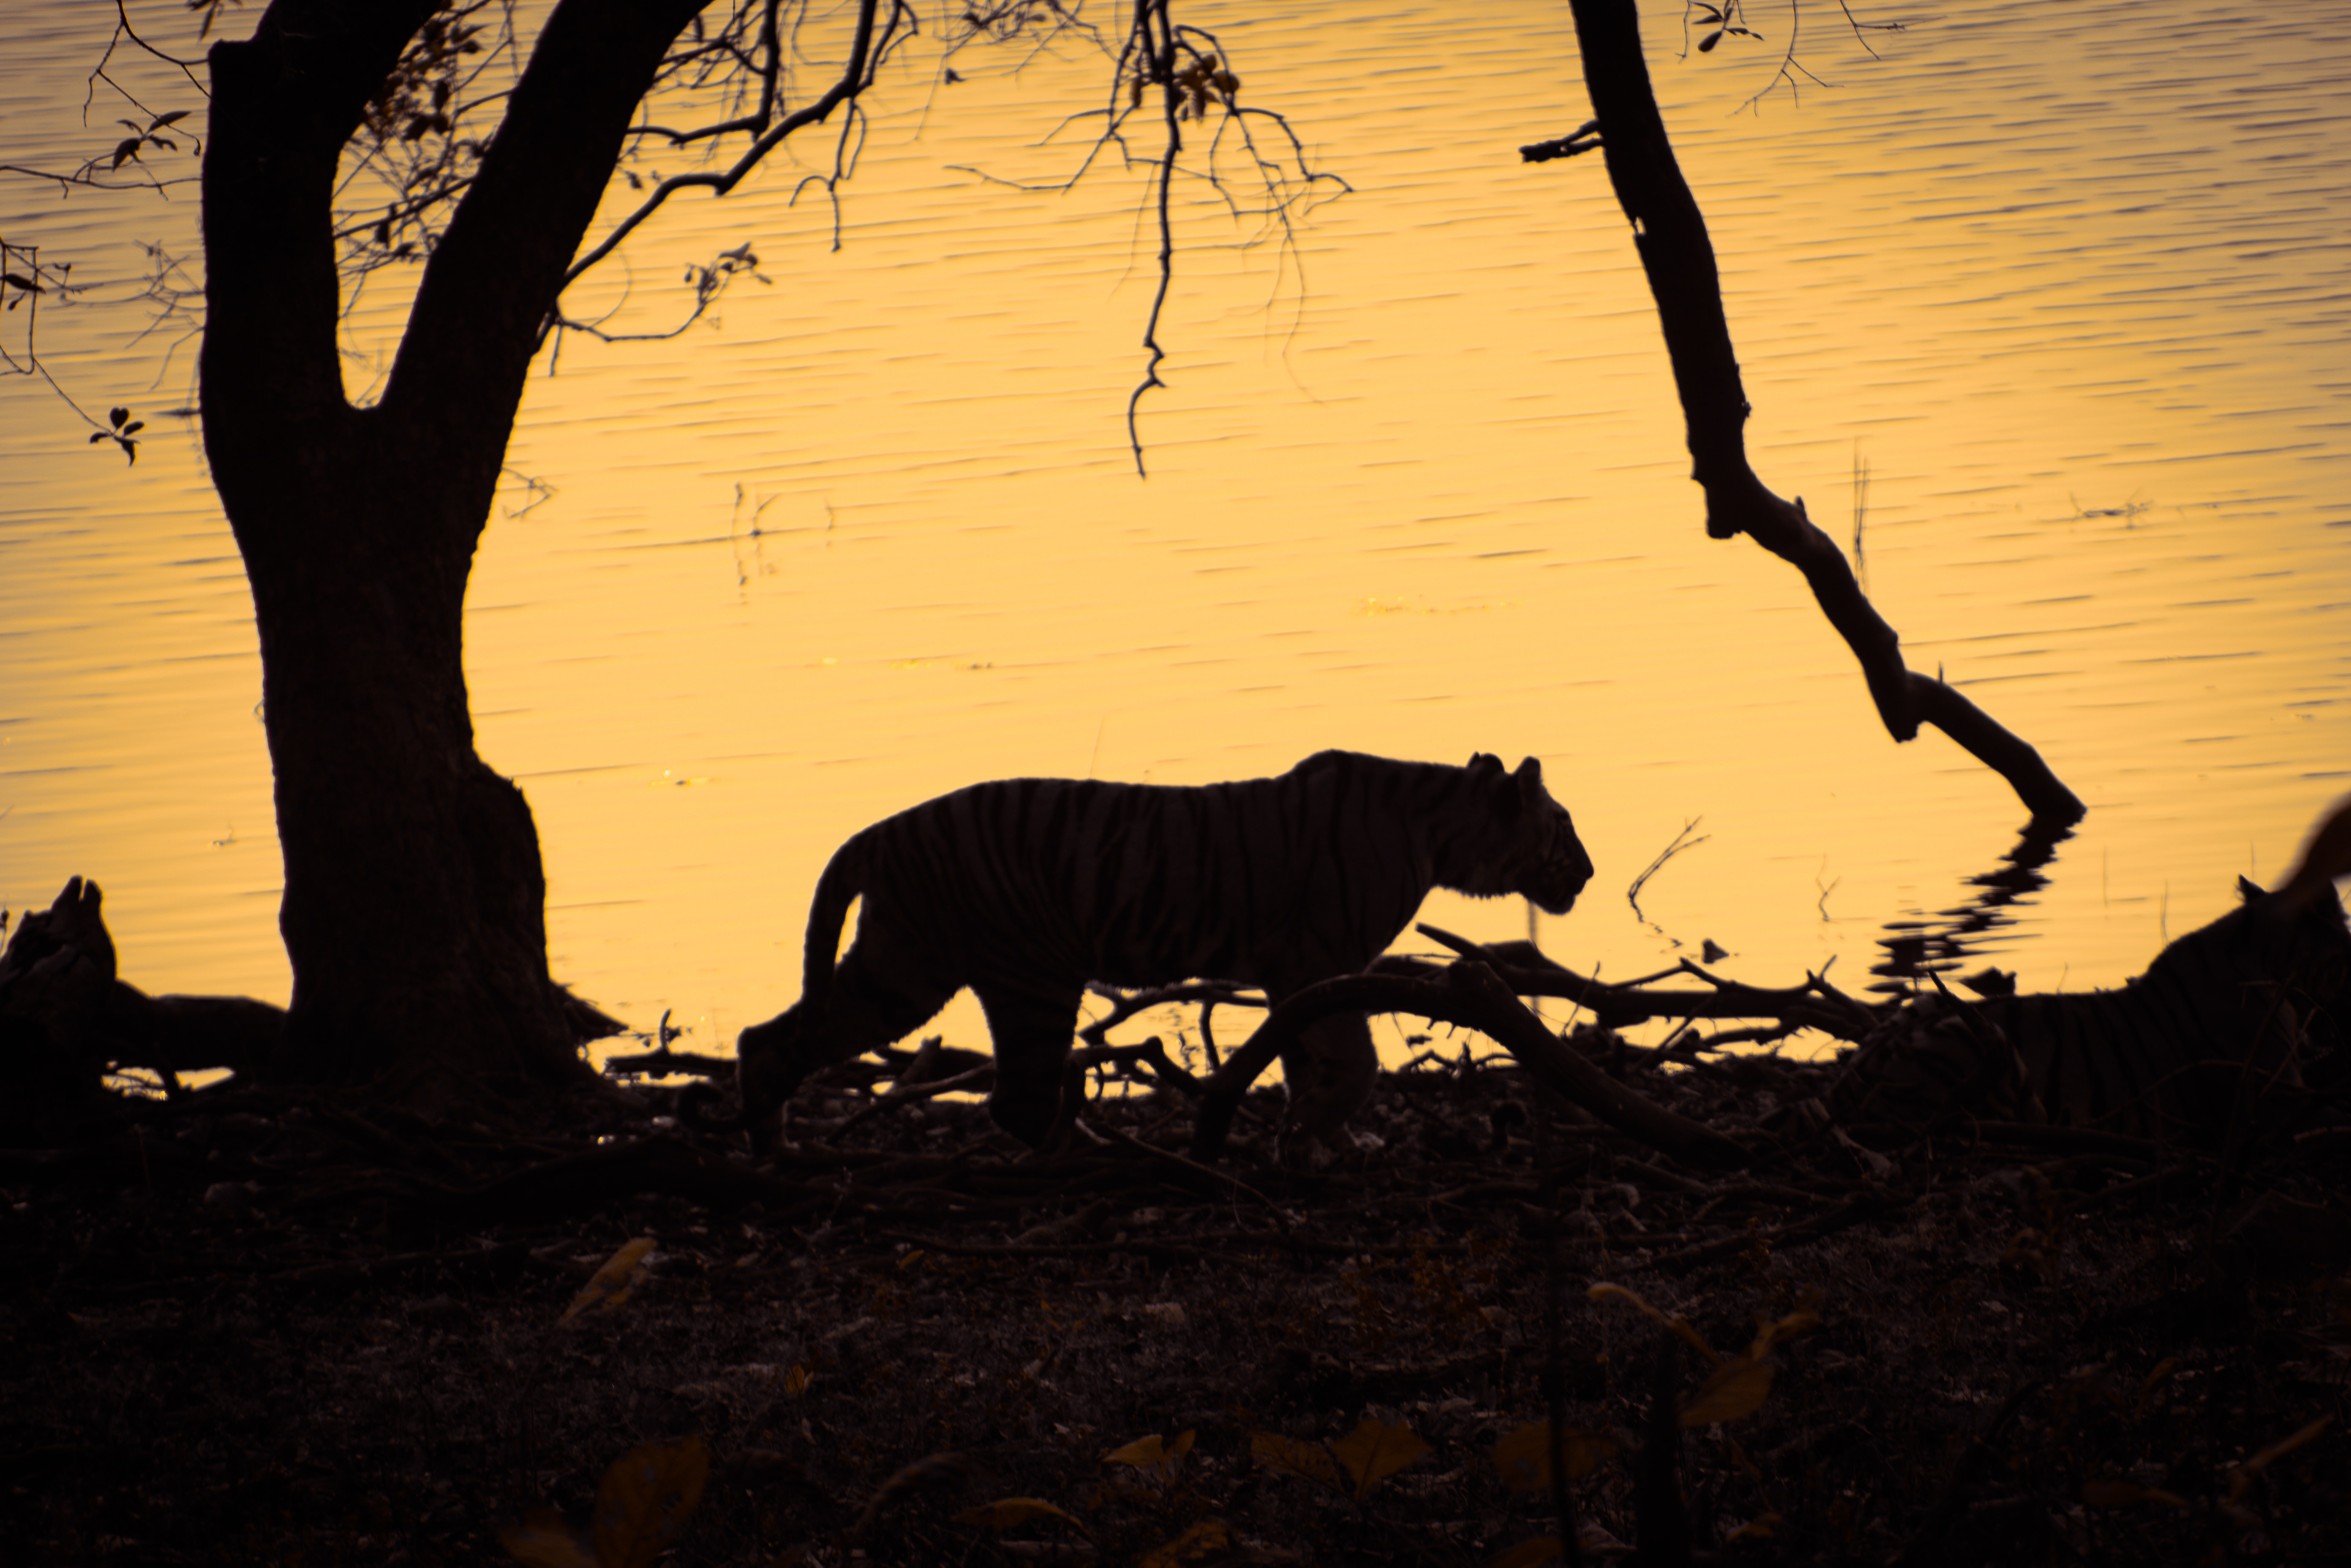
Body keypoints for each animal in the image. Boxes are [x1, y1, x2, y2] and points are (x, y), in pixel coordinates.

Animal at [733, 752, 1599, 1147]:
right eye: (1562, 825)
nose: (1590, 872)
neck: (1440, 829)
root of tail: (881, 832)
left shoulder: (1296, 976)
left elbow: (1306, 1057)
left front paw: (1314, 1134)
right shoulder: (1317, 959)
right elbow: (1353, 1060)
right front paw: (1318, 1126)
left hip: (903, 965)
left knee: (769, 1037)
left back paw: (772, 1143)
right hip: (1026, 975)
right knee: (1017, 1101)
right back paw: (1099, 1148)